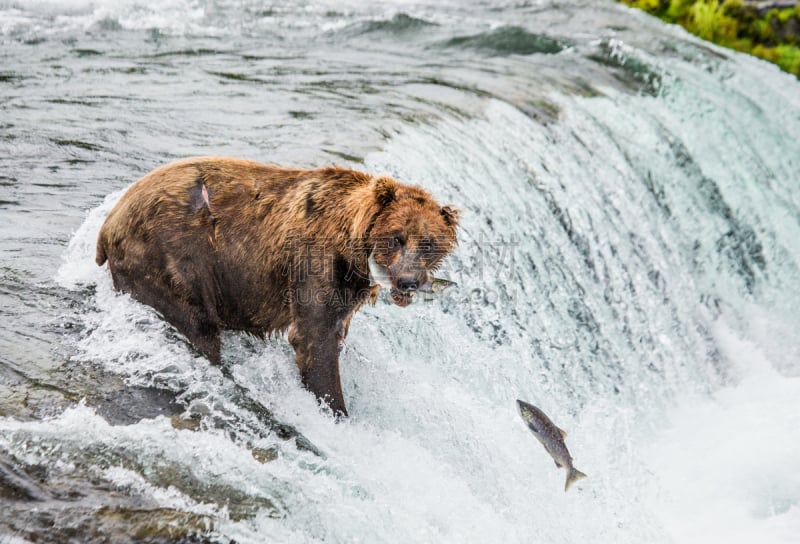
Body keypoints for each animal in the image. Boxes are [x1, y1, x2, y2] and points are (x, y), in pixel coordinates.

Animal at [94, 157, 460, 416]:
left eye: (428, 243)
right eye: (396, 237)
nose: (408, 281)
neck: (352, 248)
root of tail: (108, 223)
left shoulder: (348, 292)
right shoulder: (313, 262)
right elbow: (315, 340)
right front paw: (335, 409)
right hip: (174, 259)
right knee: (197, 326)